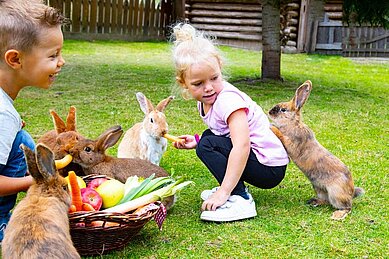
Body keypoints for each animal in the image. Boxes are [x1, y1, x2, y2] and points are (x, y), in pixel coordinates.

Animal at [268, 80, 362, 220]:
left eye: (283, 110)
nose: (269, 112)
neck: (292, 124)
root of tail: (351, 192)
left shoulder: (292, 143)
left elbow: (282, 136)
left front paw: (272, 127)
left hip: (336, 193)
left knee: (347, 207)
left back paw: (337, 215)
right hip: (319, 188)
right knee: (326, 201)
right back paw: (314, 202)